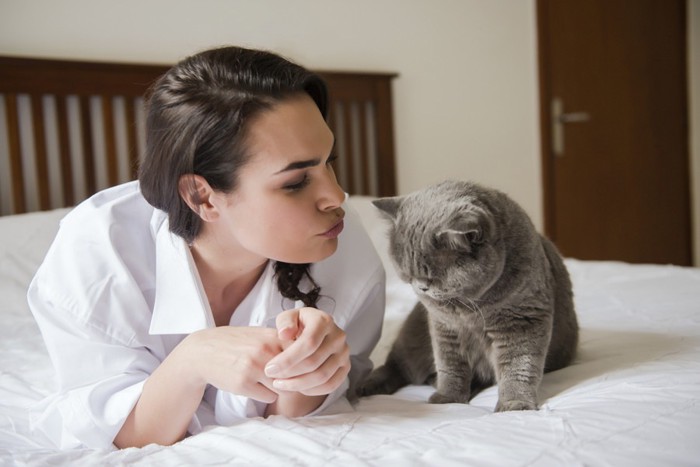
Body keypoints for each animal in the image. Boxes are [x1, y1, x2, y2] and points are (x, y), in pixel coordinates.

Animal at [358, 181, 576, 412]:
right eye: (407, 275)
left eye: (432, 277)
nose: (421, 287)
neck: (471, 309)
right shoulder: (444, 327)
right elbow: (450, 366)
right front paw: (448, 398)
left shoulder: (522, 321)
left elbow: (518, 366)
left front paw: (515, 405)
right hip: (412, 336)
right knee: (396, 366)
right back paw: (365, 386)